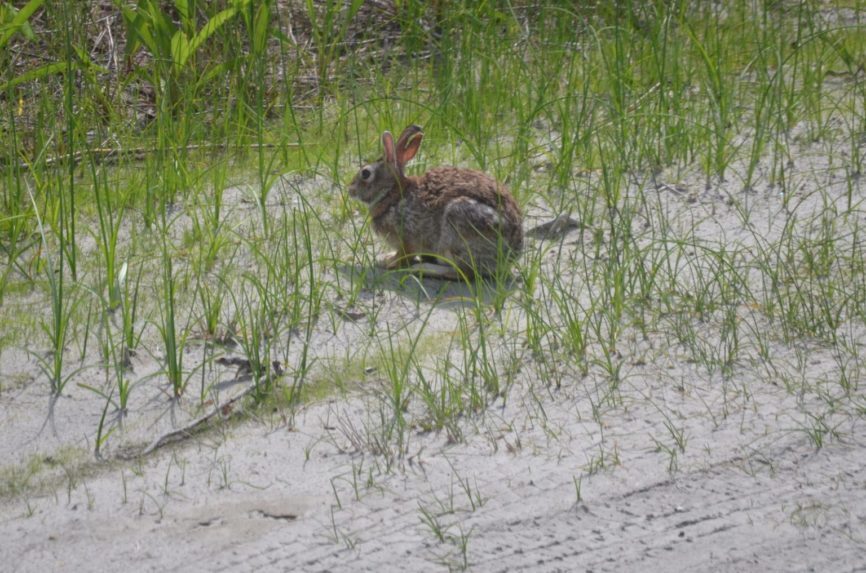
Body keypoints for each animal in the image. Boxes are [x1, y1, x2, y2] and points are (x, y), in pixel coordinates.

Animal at [348, 125, 523, 280]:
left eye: (365, 173)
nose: (350, 190)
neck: (393, 195)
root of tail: (512, 253)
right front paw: (387, 258)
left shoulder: (407, 237)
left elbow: (404, 254)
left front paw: (389, 263)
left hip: (457, 227)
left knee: (464, 272)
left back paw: (423, 269)